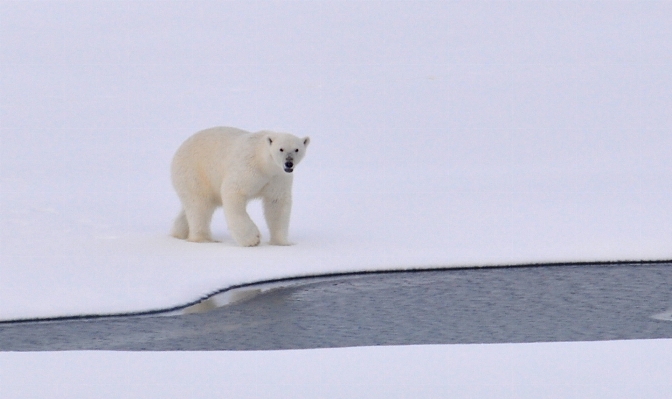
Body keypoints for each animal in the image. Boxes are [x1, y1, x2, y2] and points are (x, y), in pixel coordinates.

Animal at [172, 127, 312, 247]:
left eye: (297, 149)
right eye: (281, 149)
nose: (289, 163)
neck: (264, 163)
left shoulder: (278, 177)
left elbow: (277, 203)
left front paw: (282, 242)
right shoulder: (248, 167)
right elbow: (234, 191)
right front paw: (252, 239)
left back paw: (179, 233)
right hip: (195, 173)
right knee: (199, 205)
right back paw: (204, 239)